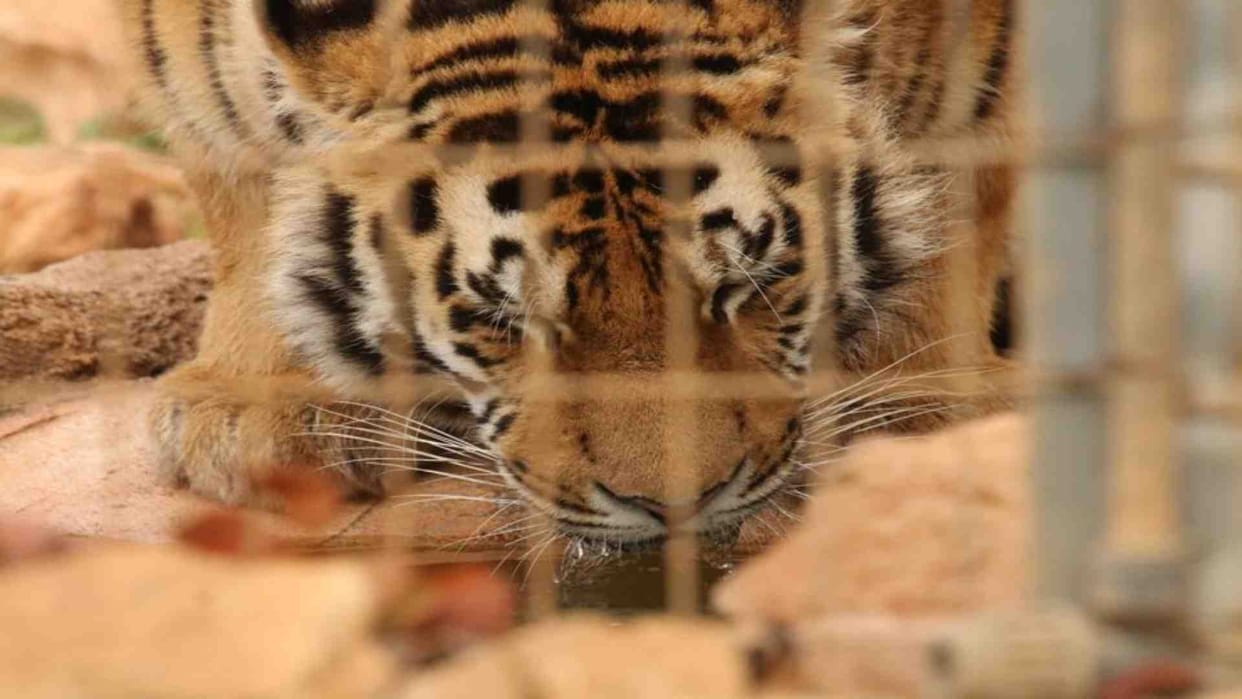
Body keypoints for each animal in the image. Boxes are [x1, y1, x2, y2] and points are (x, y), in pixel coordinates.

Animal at [122, 0, 1018, 547]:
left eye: (748, 289)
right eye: (505, 322)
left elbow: (958, 192)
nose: (677, 507)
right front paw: (257, 404)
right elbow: (239, 191)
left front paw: (927, 408)